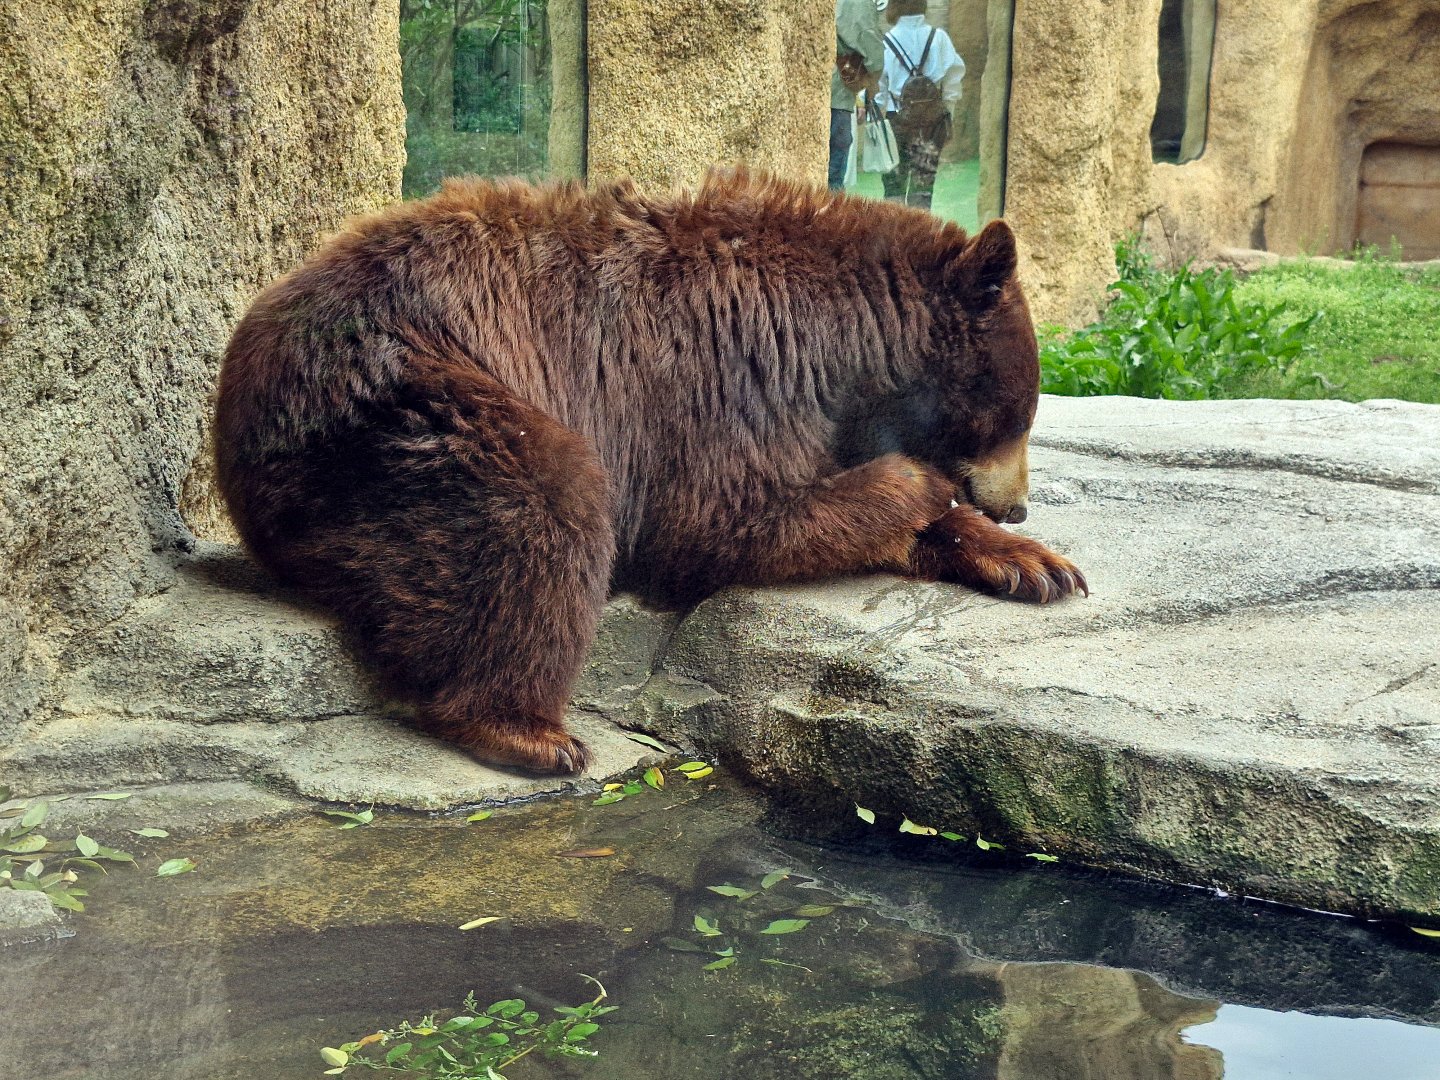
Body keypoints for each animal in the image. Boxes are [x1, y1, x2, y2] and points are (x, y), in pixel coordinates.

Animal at [214, 169, 1085, 776]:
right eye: (1021, 413)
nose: (1018, 507)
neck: (846, 347)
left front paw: (1038, 566)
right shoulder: (728, 379)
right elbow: (724, 521)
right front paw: (920, 486)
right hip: (397, 407)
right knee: (540, 506)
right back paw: (527, 730)